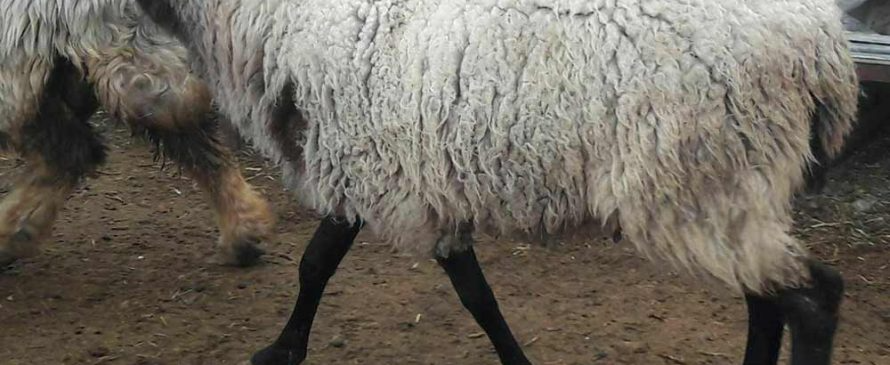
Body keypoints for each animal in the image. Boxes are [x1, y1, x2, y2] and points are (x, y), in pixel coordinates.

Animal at [139, 0, 860, 364]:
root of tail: (826, 51)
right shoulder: (394, 174)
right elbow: (452, 290)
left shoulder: (379, 169)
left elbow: (332, 268)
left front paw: (279, 350)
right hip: (730, 183)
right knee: (767, 299)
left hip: (700, 177)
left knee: (813, 297)